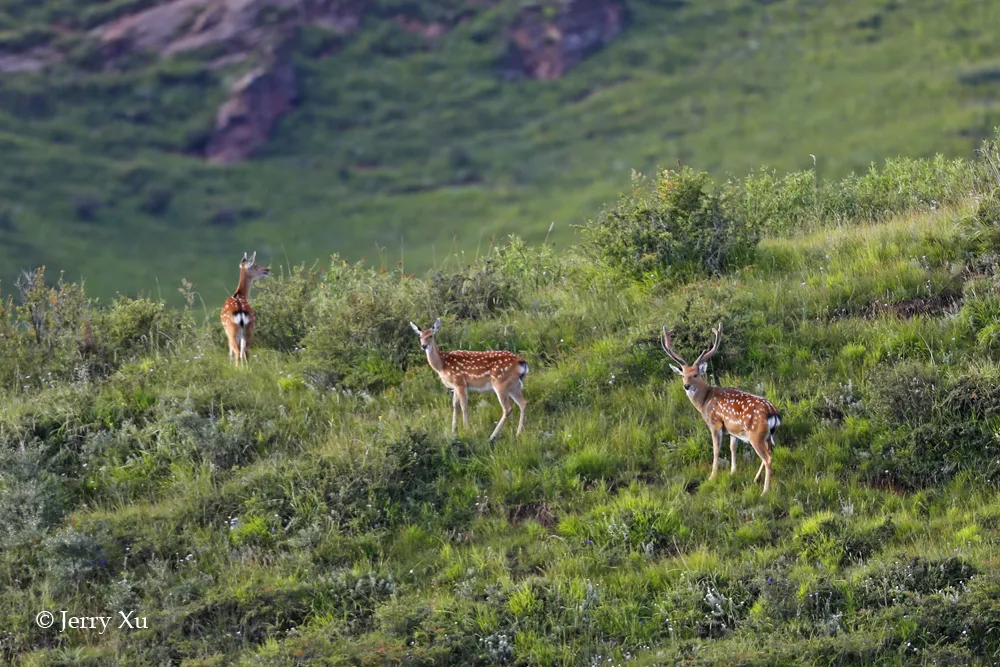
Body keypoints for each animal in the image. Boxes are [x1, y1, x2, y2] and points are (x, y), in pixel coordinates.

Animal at [664, 324, 780, 496]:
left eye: (696, 374)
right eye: (683, 375)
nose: (686, 386)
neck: (705, 401)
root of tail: (773, 413)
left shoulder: (715, 423)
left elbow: (716, 450)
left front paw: (712, 476)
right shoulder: (732, 429)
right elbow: (732, 448)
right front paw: (732, 472)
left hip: (756, 434)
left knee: (768, 458)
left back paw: (765, 491)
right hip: (766, 436)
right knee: (769, 453)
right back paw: (755, 479)